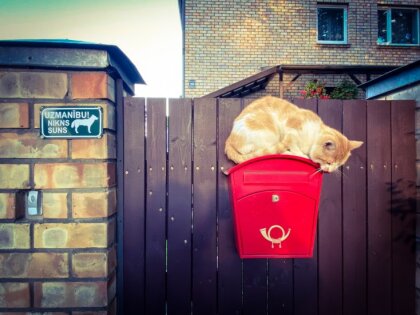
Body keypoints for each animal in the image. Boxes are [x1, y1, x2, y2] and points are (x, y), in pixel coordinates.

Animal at [225, 97, 362, 174]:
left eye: (338, 165)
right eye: (329, 162)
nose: (331, 170)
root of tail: (229, 139)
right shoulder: (291, 128)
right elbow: (294, 147)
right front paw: (302, 155)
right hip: (269, 130)